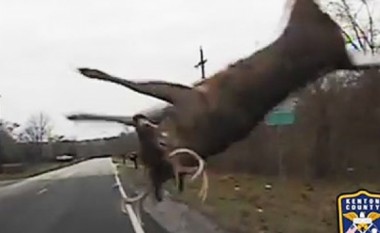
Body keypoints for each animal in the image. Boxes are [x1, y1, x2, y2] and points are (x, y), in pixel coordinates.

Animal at [71, 0, 380, 211]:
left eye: (158, 144)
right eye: (144, 152)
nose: (140, 121)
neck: (189, 132)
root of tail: (335, 49)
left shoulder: (182, 95)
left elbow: (134, 84)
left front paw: (89, 73)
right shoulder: (167, 108)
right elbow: (116, 115)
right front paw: (76, 115)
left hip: (309, 20)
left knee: (304, 5)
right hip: (331, 49)